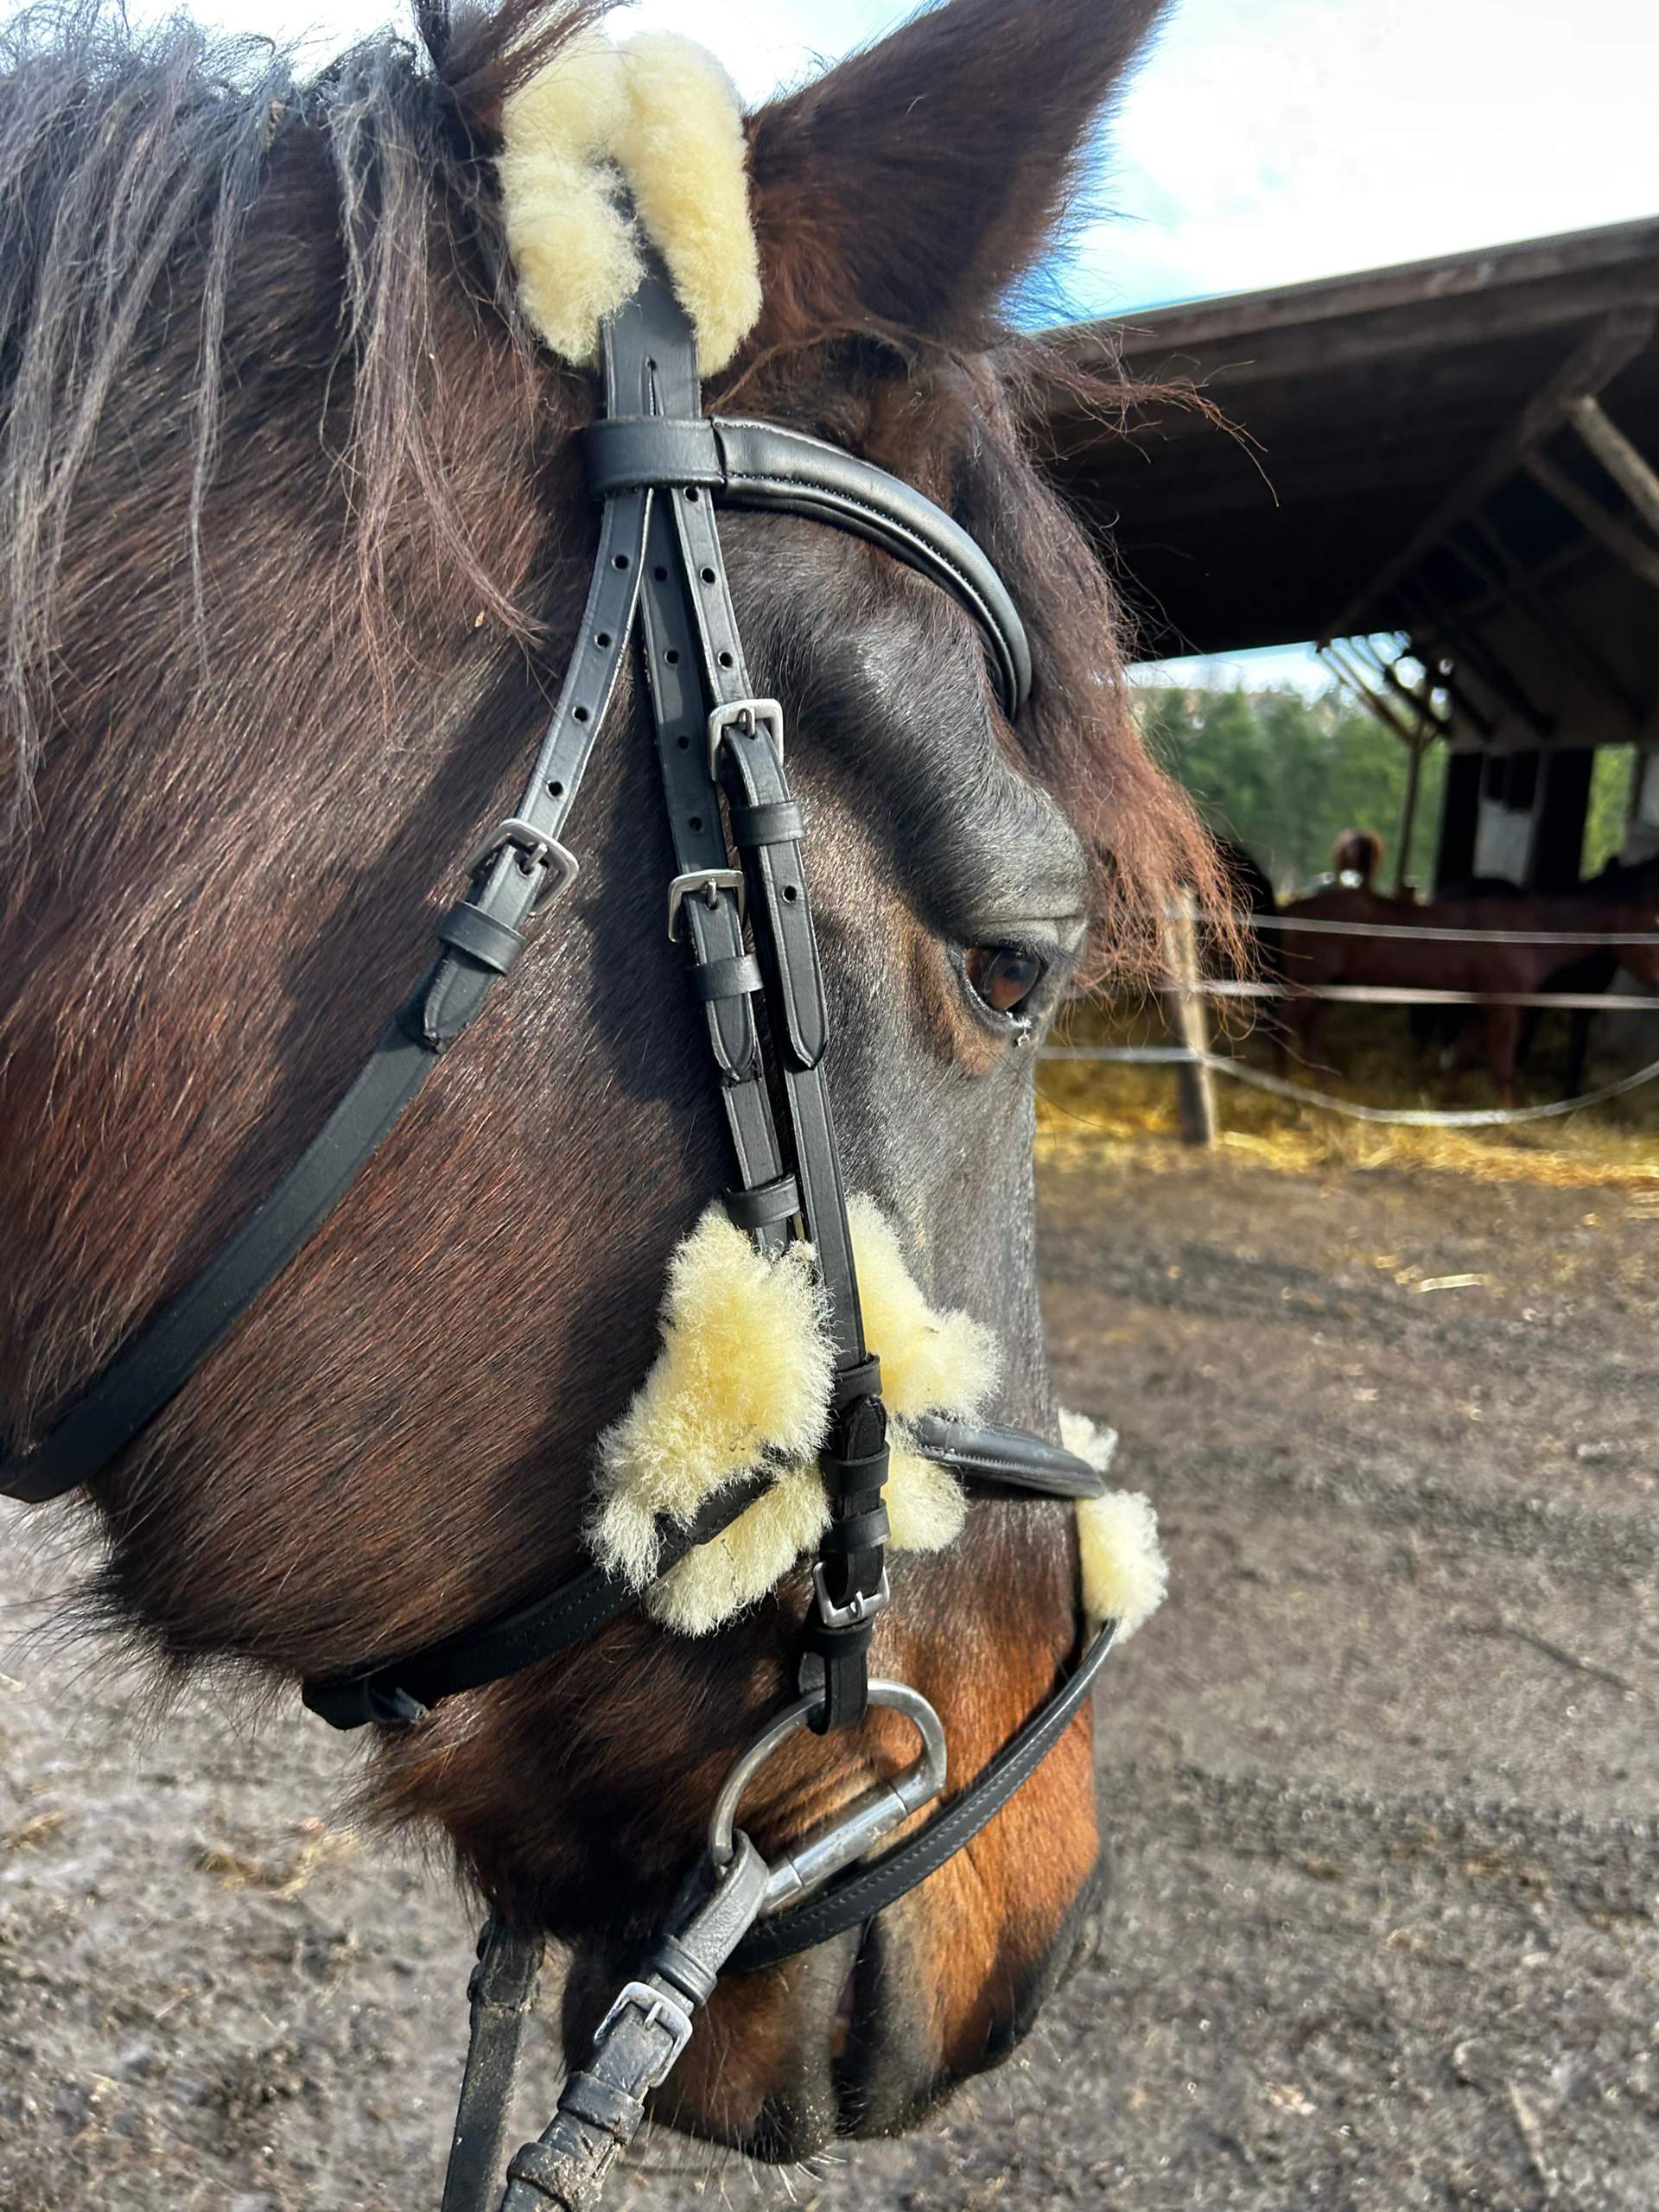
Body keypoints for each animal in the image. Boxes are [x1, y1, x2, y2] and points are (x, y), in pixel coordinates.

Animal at [1275, 887, 1659, 1098]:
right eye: (1648, 928)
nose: (1656, 983)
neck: (1526, 933)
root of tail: (1296, 908)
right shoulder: (1504, 1006)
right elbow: (1502, 1064)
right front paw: (1506, 1119)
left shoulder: (1480, 1005)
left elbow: (1462, 1052)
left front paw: (1445, 1097)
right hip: (1310, 984)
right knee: (1287, 1024)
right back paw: (1283, 1081)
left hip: (1327, 987)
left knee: (1310, 1031)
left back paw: (1320, 1081)